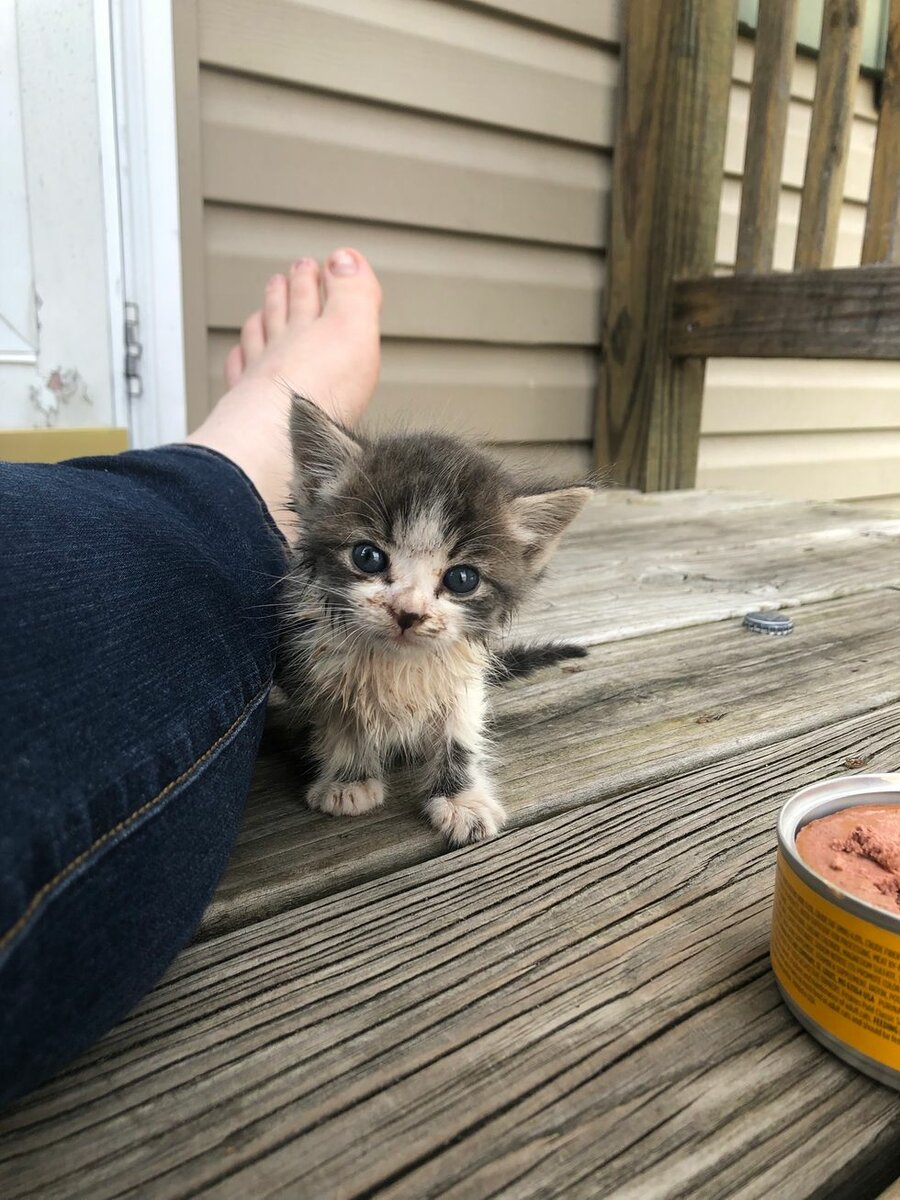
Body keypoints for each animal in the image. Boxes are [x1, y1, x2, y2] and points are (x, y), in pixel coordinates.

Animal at [278, 393, 595, 844]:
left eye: (462, 579)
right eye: (367, 556)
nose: (407, 613)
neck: (399, 663)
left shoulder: (464, 677)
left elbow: (460, 733)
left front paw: (461, 799)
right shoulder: (320, 665)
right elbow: (341, 721)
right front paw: (348, 780)